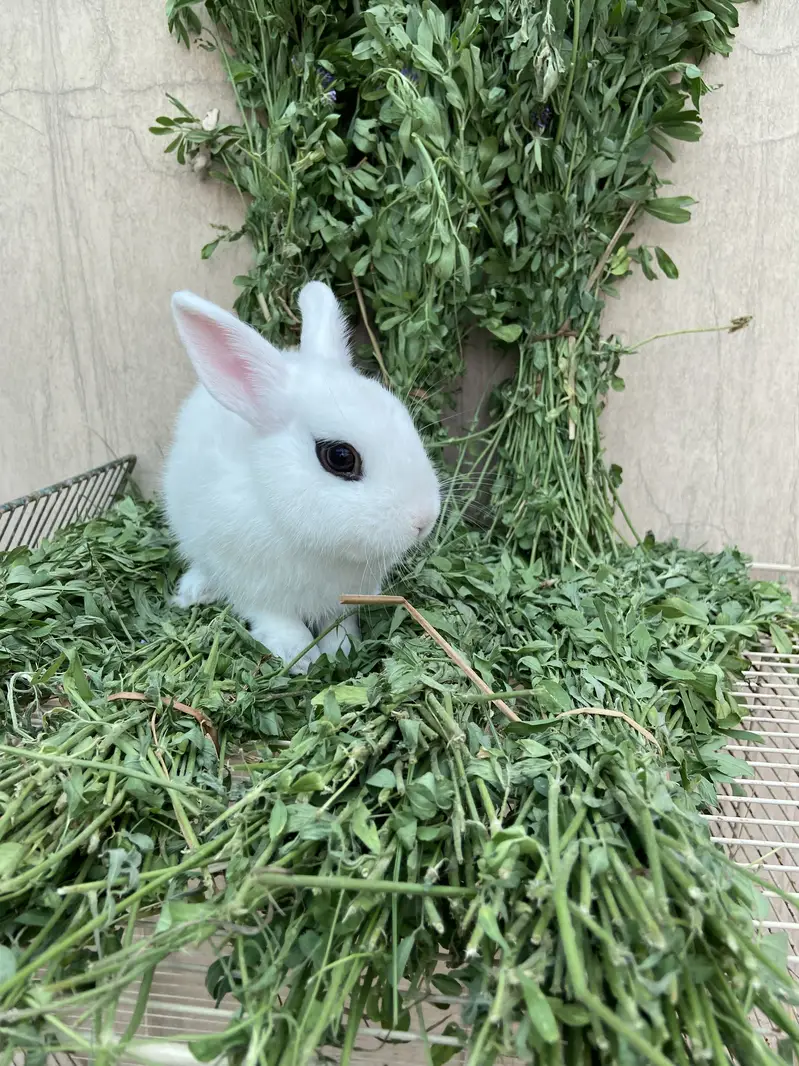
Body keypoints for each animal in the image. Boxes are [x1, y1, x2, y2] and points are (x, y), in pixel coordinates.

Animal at [163, 281, 441, 673]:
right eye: (340, 457)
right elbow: (277, 621)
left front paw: (343, 650)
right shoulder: (254, 587)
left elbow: (338, 625)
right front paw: (299, 658)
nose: (424, 520)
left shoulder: (342, 599)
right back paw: (194, 592)